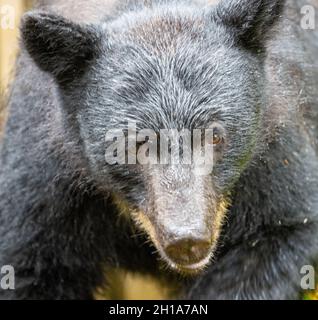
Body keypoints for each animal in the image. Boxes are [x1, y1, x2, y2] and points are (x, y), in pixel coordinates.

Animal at [0, 0, 316, 300]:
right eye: (133, 144)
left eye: (215, 136)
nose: (187, 241)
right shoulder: (46, 173)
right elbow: (30, 261)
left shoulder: (276, 144)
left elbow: (279, 229)